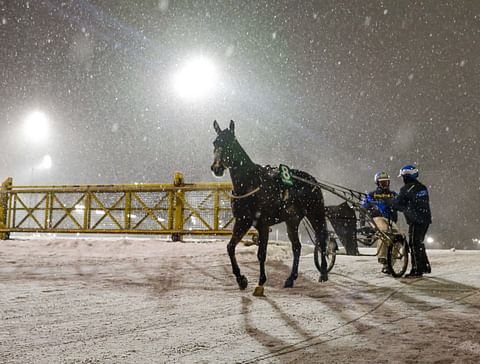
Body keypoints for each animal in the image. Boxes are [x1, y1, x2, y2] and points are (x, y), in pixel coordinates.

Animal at [212, 120, 328, 296]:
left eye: (230, 143)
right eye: (215, 143)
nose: (216, 168)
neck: (250, 183)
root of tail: (312, 180)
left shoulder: (263, 224)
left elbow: (261, 254)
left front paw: (260, 282)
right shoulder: (242, 221)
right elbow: (230, 247)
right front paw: (241, 279)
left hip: (316, 213)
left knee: (321, 239)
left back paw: (323, 273)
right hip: (292, 220)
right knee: (297, 247)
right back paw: (291, 278)